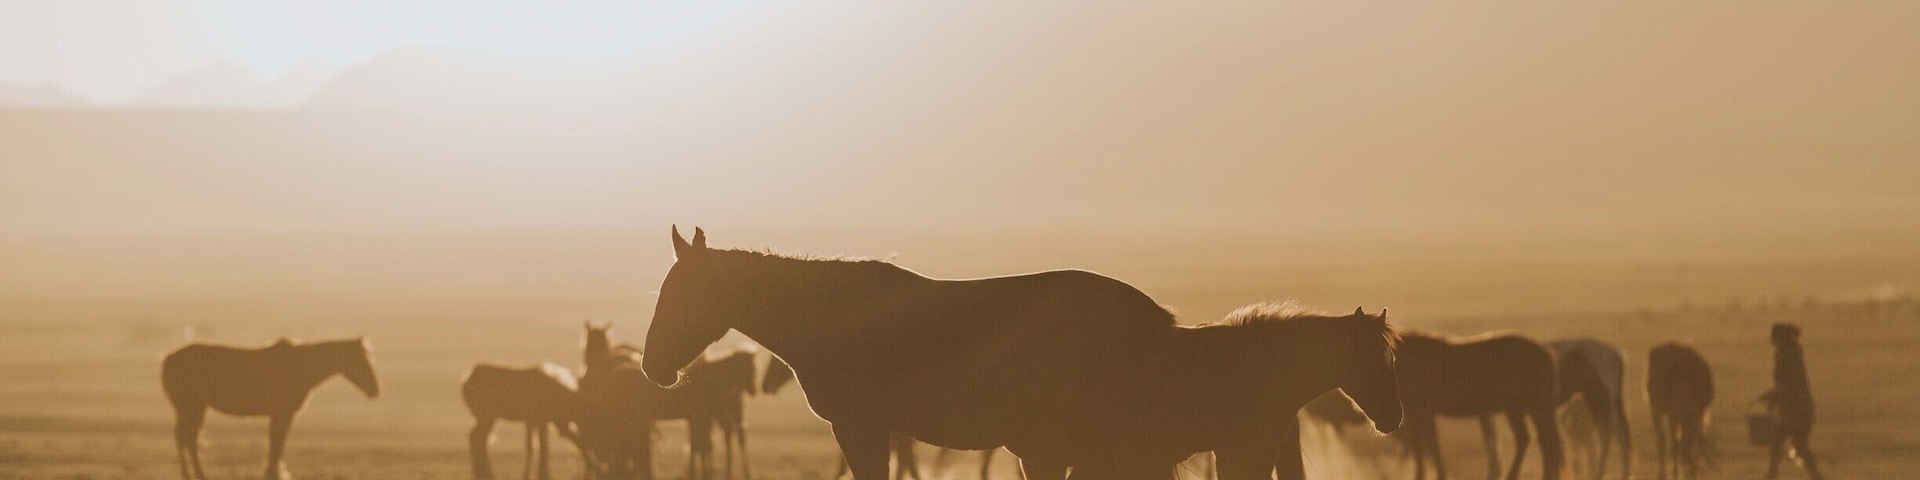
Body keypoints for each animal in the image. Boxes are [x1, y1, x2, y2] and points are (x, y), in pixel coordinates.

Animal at [161, 337, 380, 480]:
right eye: (361, 360)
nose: (375, 390)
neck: (300, 367)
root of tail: (168, 358)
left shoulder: (280, 415)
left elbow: (277, 443)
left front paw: (274, 472)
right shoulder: (282, 414)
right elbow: (277, 443)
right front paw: (274, 473)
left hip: (195, 408)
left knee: (186, 438)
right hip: (189, 408)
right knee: (186, 438)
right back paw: (195, 474)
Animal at [463, 362, 592, 480]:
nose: (590, 468)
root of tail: (464, 383)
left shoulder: (534, 421)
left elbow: (536, 446)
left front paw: (538, 475)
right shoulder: (539, 420)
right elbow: (541, 447)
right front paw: (541, 475)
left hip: (486, 417)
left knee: (477, 437)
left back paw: (481, 473)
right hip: (486, 416)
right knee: (477, 437)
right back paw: (486, 473)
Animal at [1393, 331, 1564, 480]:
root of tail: (1544, 354)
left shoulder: (1420, 411)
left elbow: (1425, 447)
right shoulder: (1423, 413)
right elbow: (1429, 446)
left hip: (1519, 408)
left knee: (1530, 440)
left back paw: (1513, 476)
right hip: (1533, 409)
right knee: (1544, 441)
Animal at [1646, 342, 1715, 480]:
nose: (1691, 472)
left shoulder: (1693, 413)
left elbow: (1688, 442)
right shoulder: (1675, 411)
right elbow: (1678, 442)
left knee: (1667, 439)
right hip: (1660, 409)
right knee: (1665, 439)